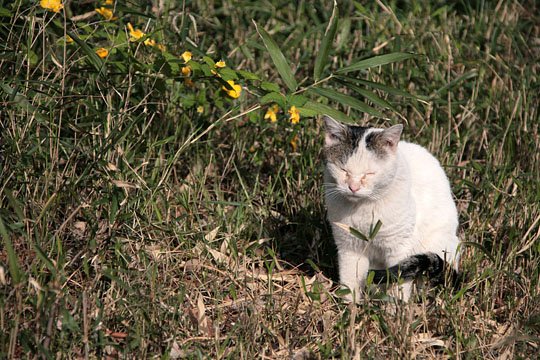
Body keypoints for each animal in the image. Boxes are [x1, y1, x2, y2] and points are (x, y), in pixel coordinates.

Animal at [322, 114, 462, 300]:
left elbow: (400, 282)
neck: (362, 209)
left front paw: (396, 306)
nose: (353, 187)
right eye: (343, 170)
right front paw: (349, 305)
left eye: (369, 173)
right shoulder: (349, 247)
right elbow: (350, 281)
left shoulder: (399, 248)